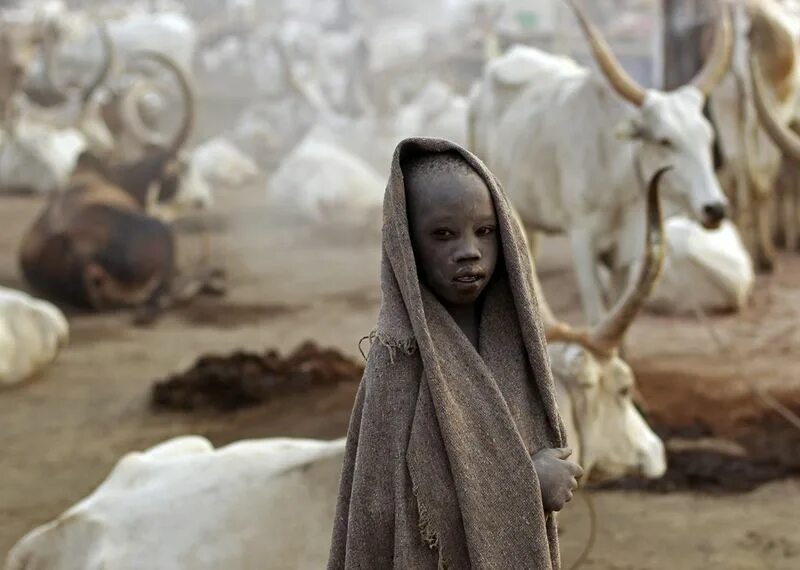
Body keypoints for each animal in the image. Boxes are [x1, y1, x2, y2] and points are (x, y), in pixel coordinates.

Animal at [468, 1, 736, 324]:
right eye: (665, 141)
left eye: (707, 137)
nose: (715, 208)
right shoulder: (582, 240)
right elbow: (597, 317)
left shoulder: (623, 253)